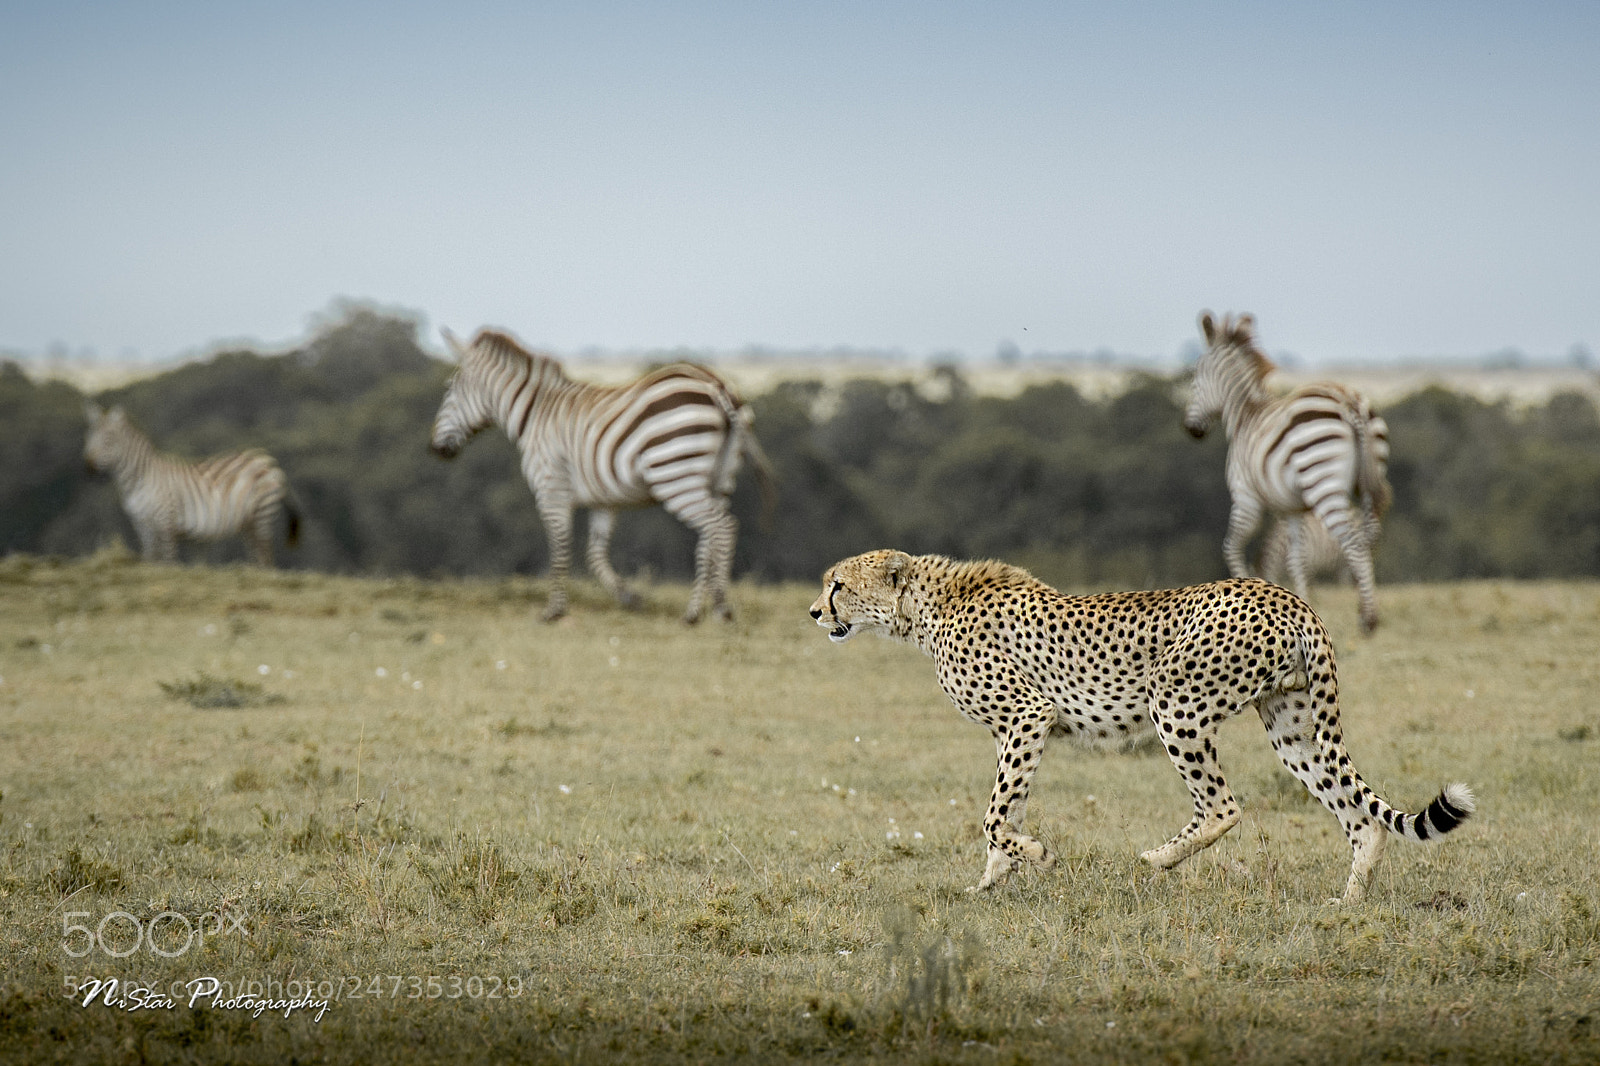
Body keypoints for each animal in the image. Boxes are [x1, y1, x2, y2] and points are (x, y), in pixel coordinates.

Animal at [809, 549, 1475, 902]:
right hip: (1293, 727)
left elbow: (994, 815)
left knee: (1224, 806)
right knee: (1360, 816)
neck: (927, 607)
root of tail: (1287, 595)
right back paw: (1349, 899)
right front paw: (990, 883)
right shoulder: (1014, 732)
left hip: (1173, 699)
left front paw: (1036, 856)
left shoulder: (1029, 715)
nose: (814, 611)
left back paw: (1159, 858)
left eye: (837, 583)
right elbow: (1006, 811)